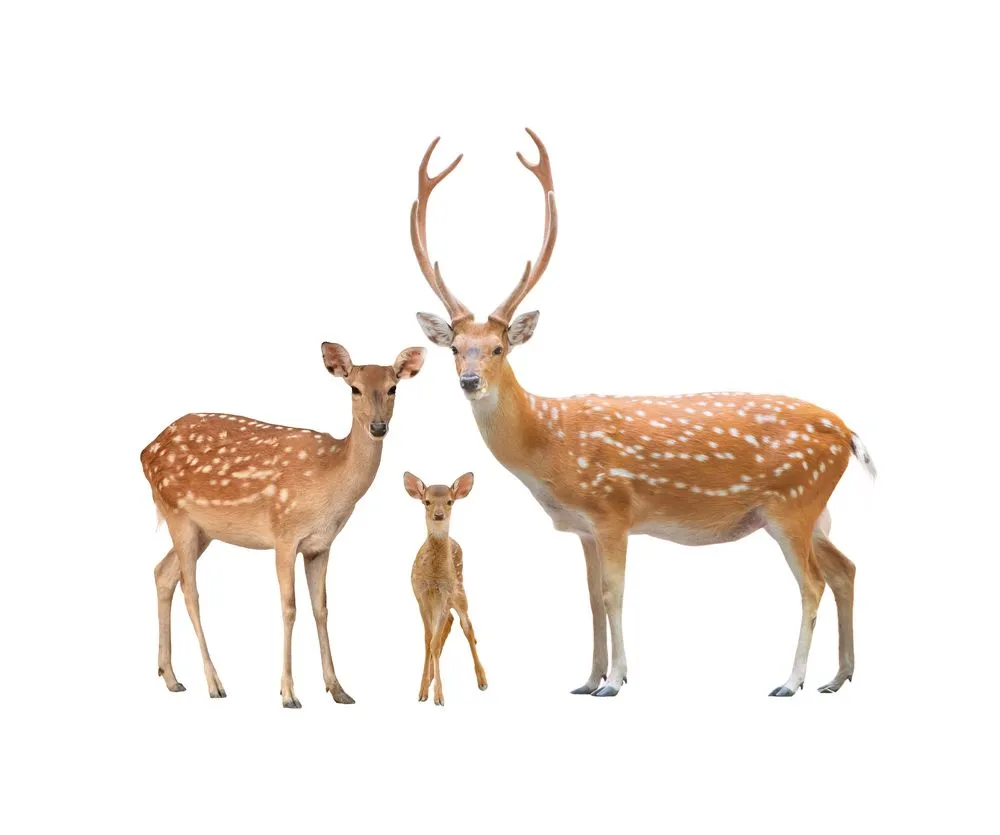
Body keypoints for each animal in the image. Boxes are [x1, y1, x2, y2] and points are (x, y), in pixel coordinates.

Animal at [140, 342, 426, 708]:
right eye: (354, 388)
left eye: (393, 388)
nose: (378, 427)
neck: (330, 481)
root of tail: (145, 451)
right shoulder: (284, 534)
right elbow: (289, 608)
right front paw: (288, 693)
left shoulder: (320, 545)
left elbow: (321, 609)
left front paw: (338, 689)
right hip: (177, 513)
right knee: (191, 591)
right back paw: (214, 683)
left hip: (203, 530)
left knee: (162, 573)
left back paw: (171, 677)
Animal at [403, 471, 487, 706]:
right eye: (426, 501)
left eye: (450, 501)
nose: (439, 514)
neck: (433, 576)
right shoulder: (420, 596)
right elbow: (428, 641)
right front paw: (423, 691)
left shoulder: (443, 594)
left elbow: (433, 642)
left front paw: (438, 696)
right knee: (447, 626)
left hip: (459, 591)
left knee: (467, 627)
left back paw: (482, 680)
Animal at [410, 129, 877, 698]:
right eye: (456, 348)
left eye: (500, 348)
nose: (470, 381)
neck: (550, 445)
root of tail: (848, 432)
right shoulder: (583, 528)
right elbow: (591, 599)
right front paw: (587, 679)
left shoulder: (613, 509)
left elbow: (614, 595)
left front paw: (616, 681)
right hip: (812, 511)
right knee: (846, 569)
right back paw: (840, 676)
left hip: (794, 503)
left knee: (813, 583)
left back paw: (790, 681)